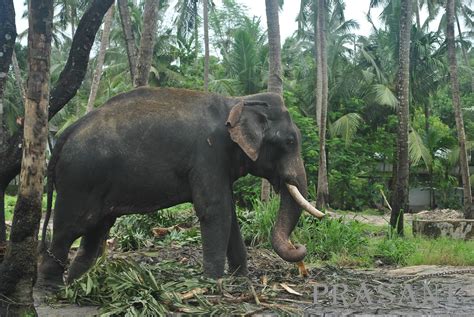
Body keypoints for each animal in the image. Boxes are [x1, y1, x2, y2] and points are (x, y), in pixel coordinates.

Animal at [38, 86, 326, 286]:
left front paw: (241, 280)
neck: (238, 100)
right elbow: (215, 211)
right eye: (290, 142)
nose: (300, 250)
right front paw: (213, 283)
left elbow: (229, 214)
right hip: (79, 180)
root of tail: (65, 133)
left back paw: (80, 285)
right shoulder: (208, 154)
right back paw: (53, 288)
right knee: (70, 229)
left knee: (96, 231)